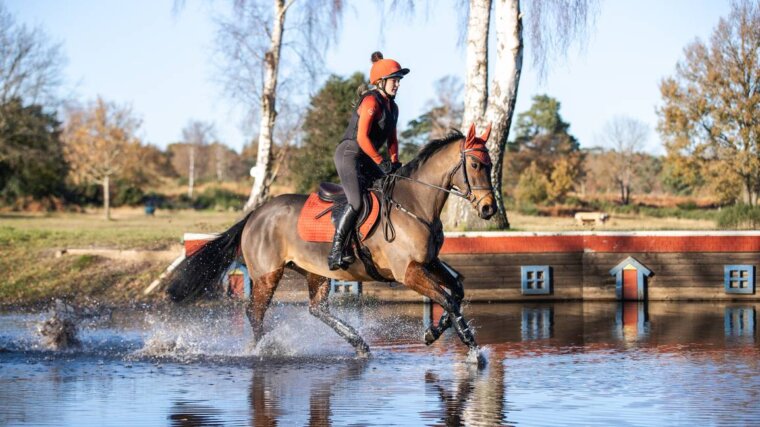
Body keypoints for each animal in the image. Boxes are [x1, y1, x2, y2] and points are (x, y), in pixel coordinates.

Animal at [168, 123, 498, 364]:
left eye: (490, 164)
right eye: (475, 164)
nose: (488, 209)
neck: (414, 205)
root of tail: (255, 214)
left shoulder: (428, 262)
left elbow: (456, 291)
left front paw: (433, 333)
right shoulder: (409, 272)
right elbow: (447, 298)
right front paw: (472, 349)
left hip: (316, 271)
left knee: (317, 310)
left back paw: (360, 344)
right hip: (267, 274)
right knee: (255, 313)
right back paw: (263, 350)